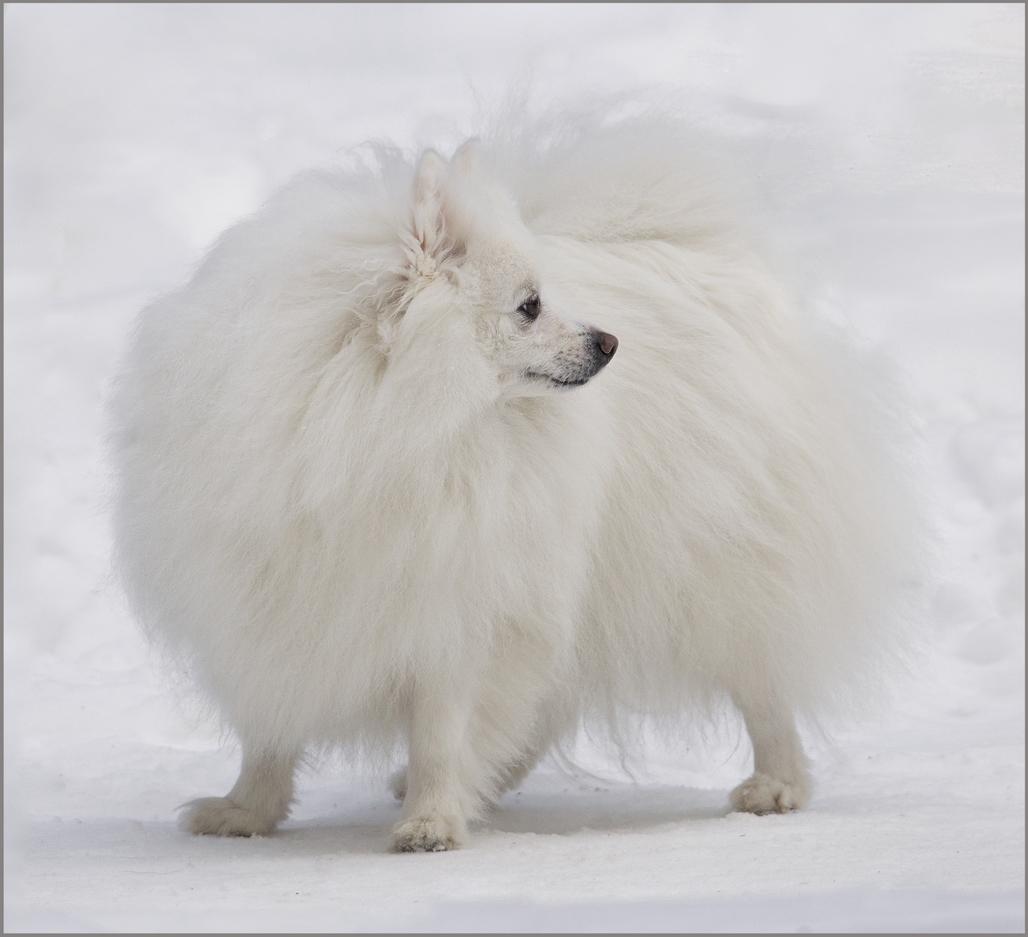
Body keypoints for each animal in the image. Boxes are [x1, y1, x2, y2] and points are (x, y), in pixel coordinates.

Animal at [112, 113, 916, 855]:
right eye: (529, 305)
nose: (610, 340)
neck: (380, 416)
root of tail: (723, 265)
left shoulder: (457, 601)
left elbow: (440, 728)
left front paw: (431, 822)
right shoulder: (270, 600)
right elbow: (269, 728)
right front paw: (245, 811)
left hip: (718, 566)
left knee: (763, 686)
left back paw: (776, 784)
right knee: (544, 701)